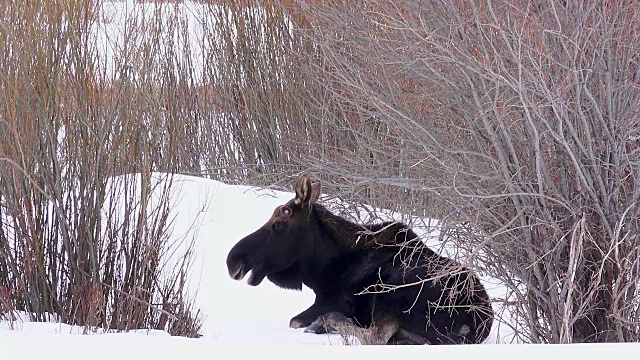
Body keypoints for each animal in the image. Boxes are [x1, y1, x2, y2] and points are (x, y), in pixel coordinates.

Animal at [226, 175, 496, 346]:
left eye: (279, 223)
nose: (233, 260)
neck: (322, 270)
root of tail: (478, 324)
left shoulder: (332, 300)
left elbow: (295, 321)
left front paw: (321, 321)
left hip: (392, 287)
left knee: (374, 337)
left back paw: (331, 321)